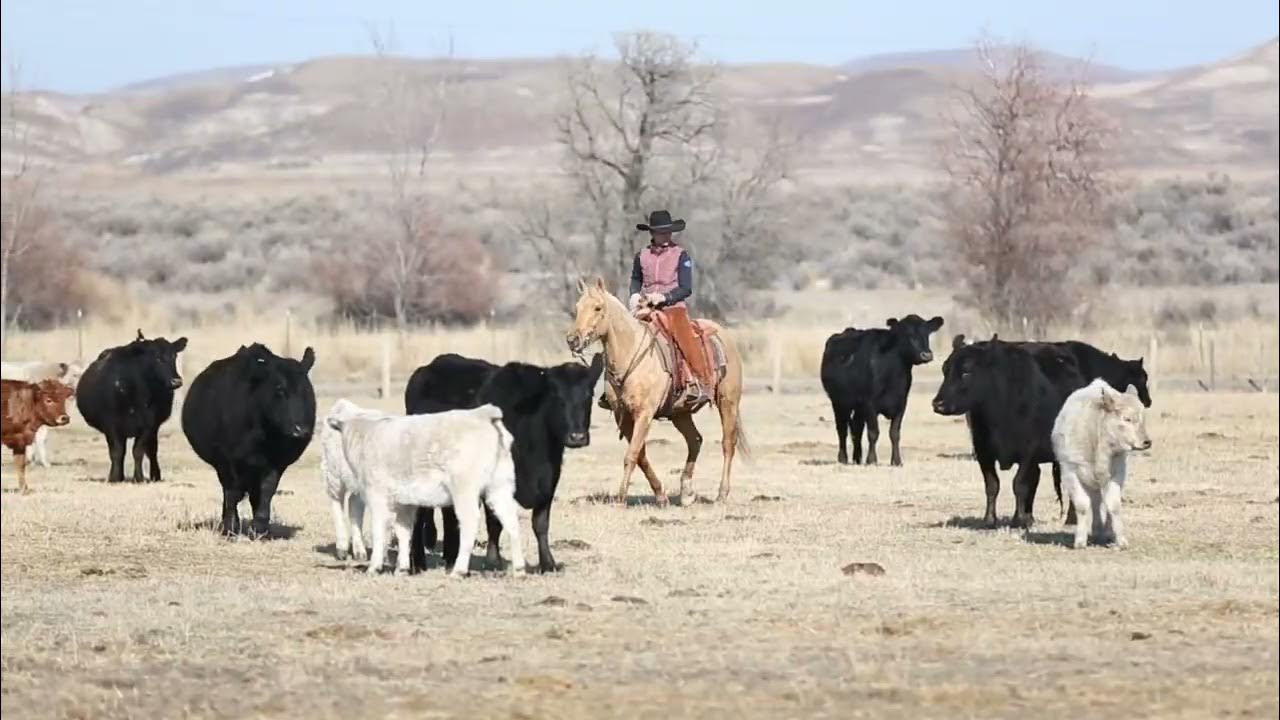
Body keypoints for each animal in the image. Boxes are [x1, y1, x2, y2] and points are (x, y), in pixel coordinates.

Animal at [565, 277, 749, 506]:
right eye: (577, 307)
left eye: (598, 307)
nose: (573, 340)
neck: (630, 352)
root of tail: (723, 336)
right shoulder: (623, 416)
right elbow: (640, 455)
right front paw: (660, 495)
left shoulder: (644, 414)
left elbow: (632, 454)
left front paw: (621, 498)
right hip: (680, 413)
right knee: (695, 440)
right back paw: (686, 492)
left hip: (727, 402)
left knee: (727, 443)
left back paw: (722, 493)